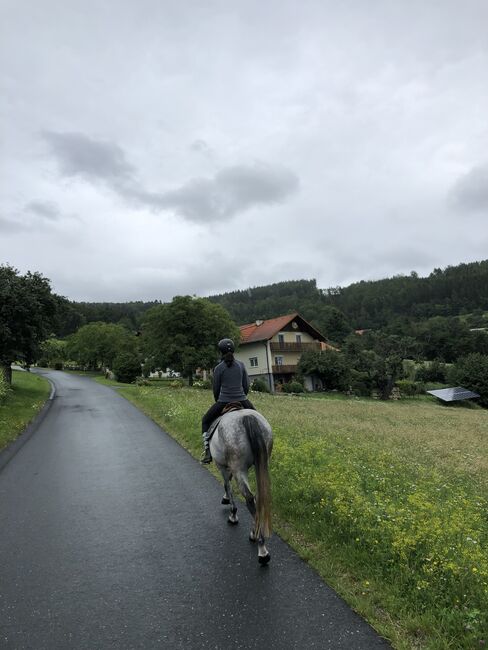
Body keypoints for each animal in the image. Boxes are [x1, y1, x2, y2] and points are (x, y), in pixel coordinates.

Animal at [208, 410, 272, 560]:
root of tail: (247, 417)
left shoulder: (222, 466)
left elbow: (227, 486)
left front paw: (232, 514)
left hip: (239, 468)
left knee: (249, 498)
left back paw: (262, 548)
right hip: (261, 464)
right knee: (257, 498)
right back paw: (254, 533)